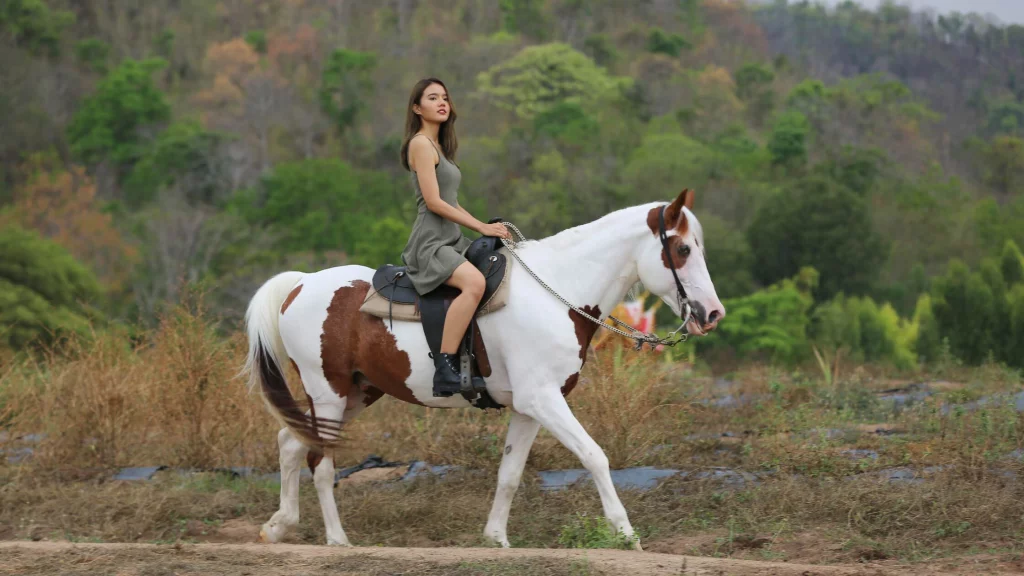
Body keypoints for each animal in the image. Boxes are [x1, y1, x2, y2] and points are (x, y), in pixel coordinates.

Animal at [240, 187, 724, 545]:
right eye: (682, 248)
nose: (712, 314)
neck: (558, 293)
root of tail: (300, 284)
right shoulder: (543, 400)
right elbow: (594, 456)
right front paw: (625, 533)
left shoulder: (530, 408)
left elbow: (509, 474)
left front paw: (496, 538)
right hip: (329, 392)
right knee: (320, 462)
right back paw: (337, 540)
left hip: (357, 394)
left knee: (290, 442)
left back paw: (279, 526)